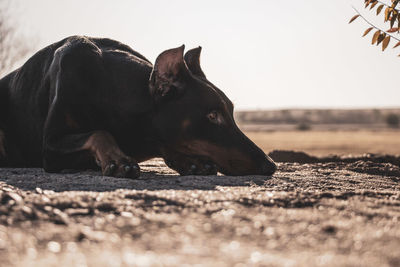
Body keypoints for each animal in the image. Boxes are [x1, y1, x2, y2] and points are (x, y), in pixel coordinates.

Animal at [0, 35, 276, 178]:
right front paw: (118, 160)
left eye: (230, 112)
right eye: (212, 115)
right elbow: (100, 132)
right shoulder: (51, 146)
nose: (270, 165)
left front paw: (189, 160)